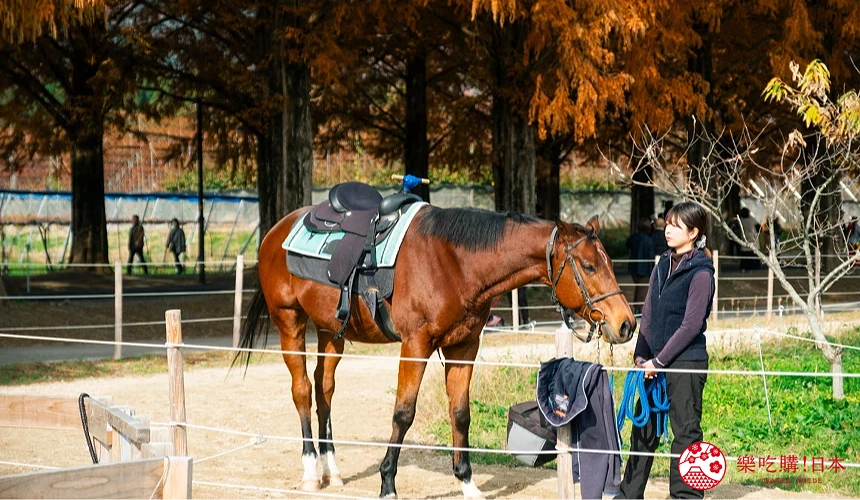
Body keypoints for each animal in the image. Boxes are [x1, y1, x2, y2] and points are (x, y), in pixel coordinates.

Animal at [239, 204, 636, 499]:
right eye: (589, 266)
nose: (626, 324)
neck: (454, 262)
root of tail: (277, 231)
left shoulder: (464, 347)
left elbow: (460, 414)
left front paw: (468, 484)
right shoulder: (416, 345)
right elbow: (403, 413)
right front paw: (387, 484)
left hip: (330, 332)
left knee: (324, 389)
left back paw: (331, 470)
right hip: (289, 322)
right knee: (303, 390)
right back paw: (310, 471)